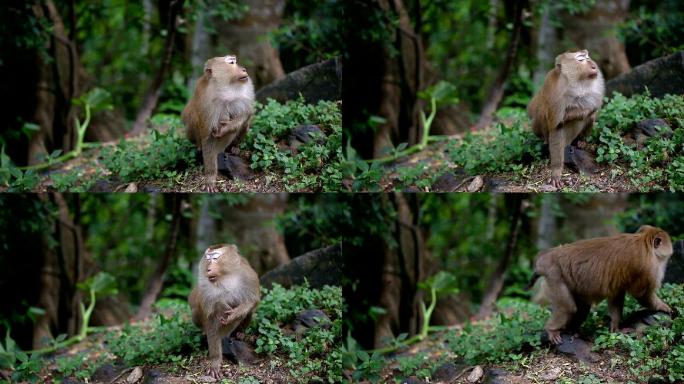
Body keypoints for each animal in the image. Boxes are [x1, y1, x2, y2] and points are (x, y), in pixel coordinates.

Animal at [180, 54, 255, 192]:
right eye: (231, 63)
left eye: (235, 62)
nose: (244, 69)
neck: (224, 89)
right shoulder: (207, 103)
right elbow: (208, 138)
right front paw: (210, 177)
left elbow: (246, 113)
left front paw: (227, 128)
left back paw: (233, 147)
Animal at [188, 243, 260, 378]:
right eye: (207, 259)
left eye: (215, 258)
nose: (208, 269)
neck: (225, 277)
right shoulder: (205, 288)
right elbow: (212, 316)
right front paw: (215, 361)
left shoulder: (248, 275)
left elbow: (252, 300)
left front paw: (235, 314)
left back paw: (239, 332)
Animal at [528, 50, 604, 188]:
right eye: (581, 60)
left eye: (588, 58)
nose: (594, 66)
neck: (576, 83)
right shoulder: (556, 93)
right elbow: (557, 126)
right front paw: (556, 172)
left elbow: (591, 109)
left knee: (591, 118)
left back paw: (580, 141)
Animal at [528, 224, 672, 344]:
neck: (643, 240)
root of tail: (543, 259)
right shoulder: (647, 267)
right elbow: (642, 294)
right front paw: (663, 306)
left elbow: (616, 295)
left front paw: (615, 327)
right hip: (554, 276)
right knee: (567, 307)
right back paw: (551, 330)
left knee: (582, 308)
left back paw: (572, 331)